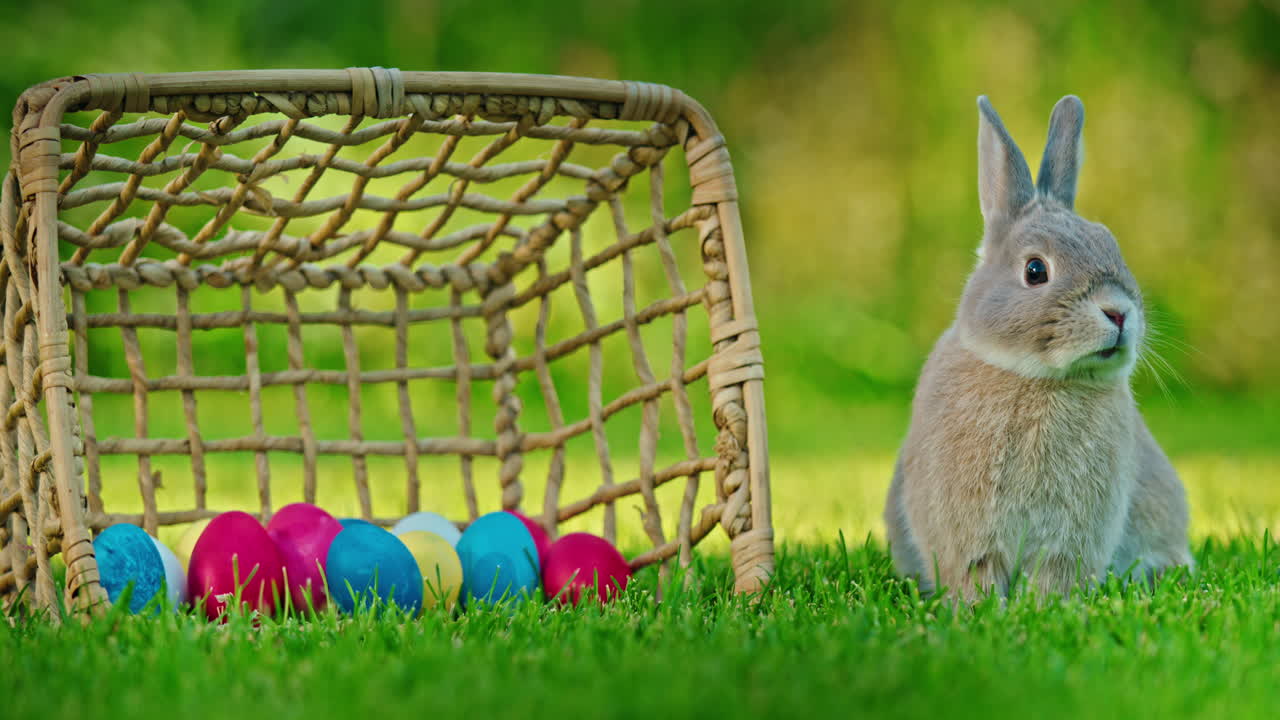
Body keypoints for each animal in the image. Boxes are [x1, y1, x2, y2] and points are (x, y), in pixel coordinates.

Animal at [882, 94, 1193, 602]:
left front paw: (1045, 607)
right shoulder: (967, 531)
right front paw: (979, 609)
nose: (1119, 313)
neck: (1036, 377)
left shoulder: (1071, 536)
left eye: (1111, 244)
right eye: (1034, 270)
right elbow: (975, 570)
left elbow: (1054, 573)